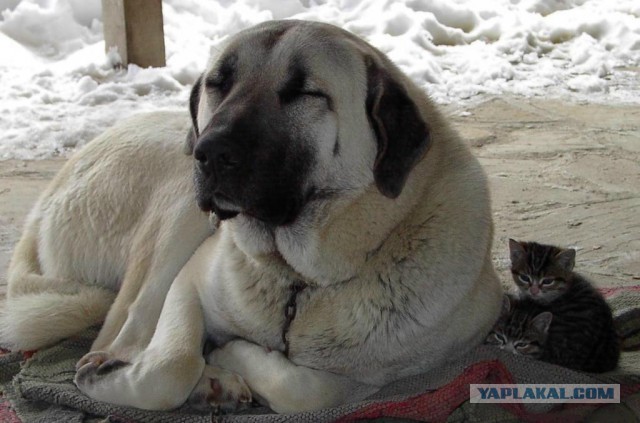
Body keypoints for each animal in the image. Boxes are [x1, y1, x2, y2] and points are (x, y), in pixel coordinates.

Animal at [1, 20, 504, 414]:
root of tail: (43, 203)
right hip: (179, 206)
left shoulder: (364, 378)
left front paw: (230, 356)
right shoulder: (190, 280)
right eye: (217, 83)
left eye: (304, 92)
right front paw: (147, 371)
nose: (210, 153)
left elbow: (303, 388)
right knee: (119, 327)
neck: (296, 280)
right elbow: (170, 365)